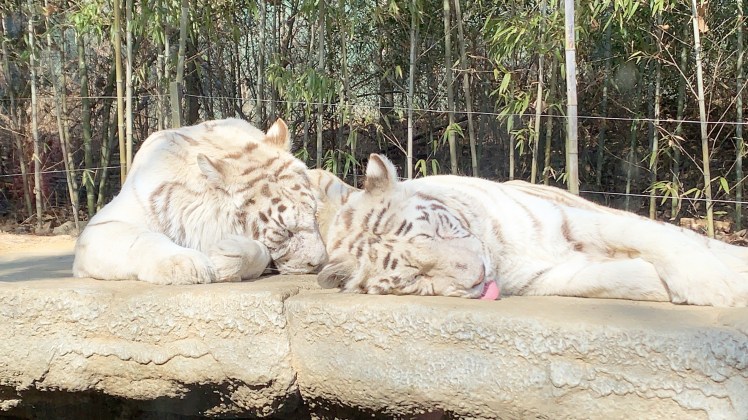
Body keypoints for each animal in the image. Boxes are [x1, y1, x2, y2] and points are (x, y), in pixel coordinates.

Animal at [73, 118, 327, 285]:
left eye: (314, 216)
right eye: (285, 232)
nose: (320, 263)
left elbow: (261, 252)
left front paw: (224, 258)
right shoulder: (102, 227)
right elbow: (142, 239)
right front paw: (185, 264)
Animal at [318, 153, 748, 307]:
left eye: (438, 231)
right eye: (415, 277)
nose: (477, 277)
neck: (499, 254)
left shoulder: (573, 220)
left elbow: (654, 238)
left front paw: (711, 286)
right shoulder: (545, 277)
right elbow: (621, 279)